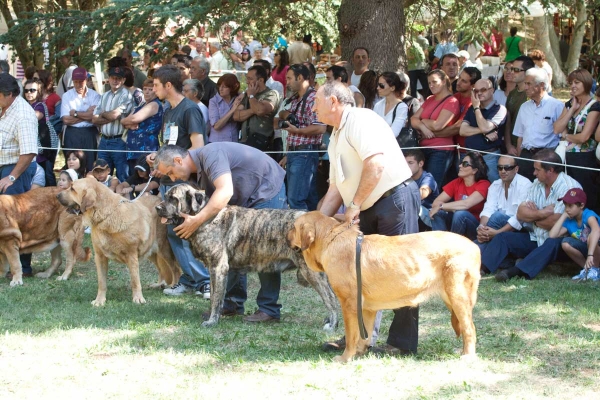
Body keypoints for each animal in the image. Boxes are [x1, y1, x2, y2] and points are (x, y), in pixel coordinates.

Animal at [157, 183, 338, 330]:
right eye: (165, 196)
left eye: (173, 199)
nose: (158, 208)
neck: (204, 217)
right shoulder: (214, 269)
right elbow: (216, 295)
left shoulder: (218, 267)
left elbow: (216, 298)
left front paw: (212, 321)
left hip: (311, 272)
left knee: (331, 299)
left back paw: (332, 325)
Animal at [288, 211, 480, 364]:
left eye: (293, 227)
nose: (286, 235)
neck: (330, 239)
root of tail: (475, 246)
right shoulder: (366, 308)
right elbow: (363, 334)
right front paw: (359, 353)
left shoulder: (349, 303)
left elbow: (351, 335)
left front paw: (345, 357)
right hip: (450, 299)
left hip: (457, 296)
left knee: (470, 328)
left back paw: (468, 356)